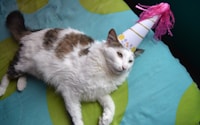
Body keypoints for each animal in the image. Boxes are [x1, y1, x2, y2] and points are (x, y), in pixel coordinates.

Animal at [0, 10, 144, 125]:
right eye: (119, 54)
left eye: (130, 61)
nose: (124, 67)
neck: (106, 73)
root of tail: (31, 32)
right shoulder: (69, 92)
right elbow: (76, 115)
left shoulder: (98, 91)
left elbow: (111, 104)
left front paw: (106, 119)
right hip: (22, 64)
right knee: (8, 71)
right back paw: (2, 90)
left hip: (30, 68)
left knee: (22, 74)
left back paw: (21, 84)